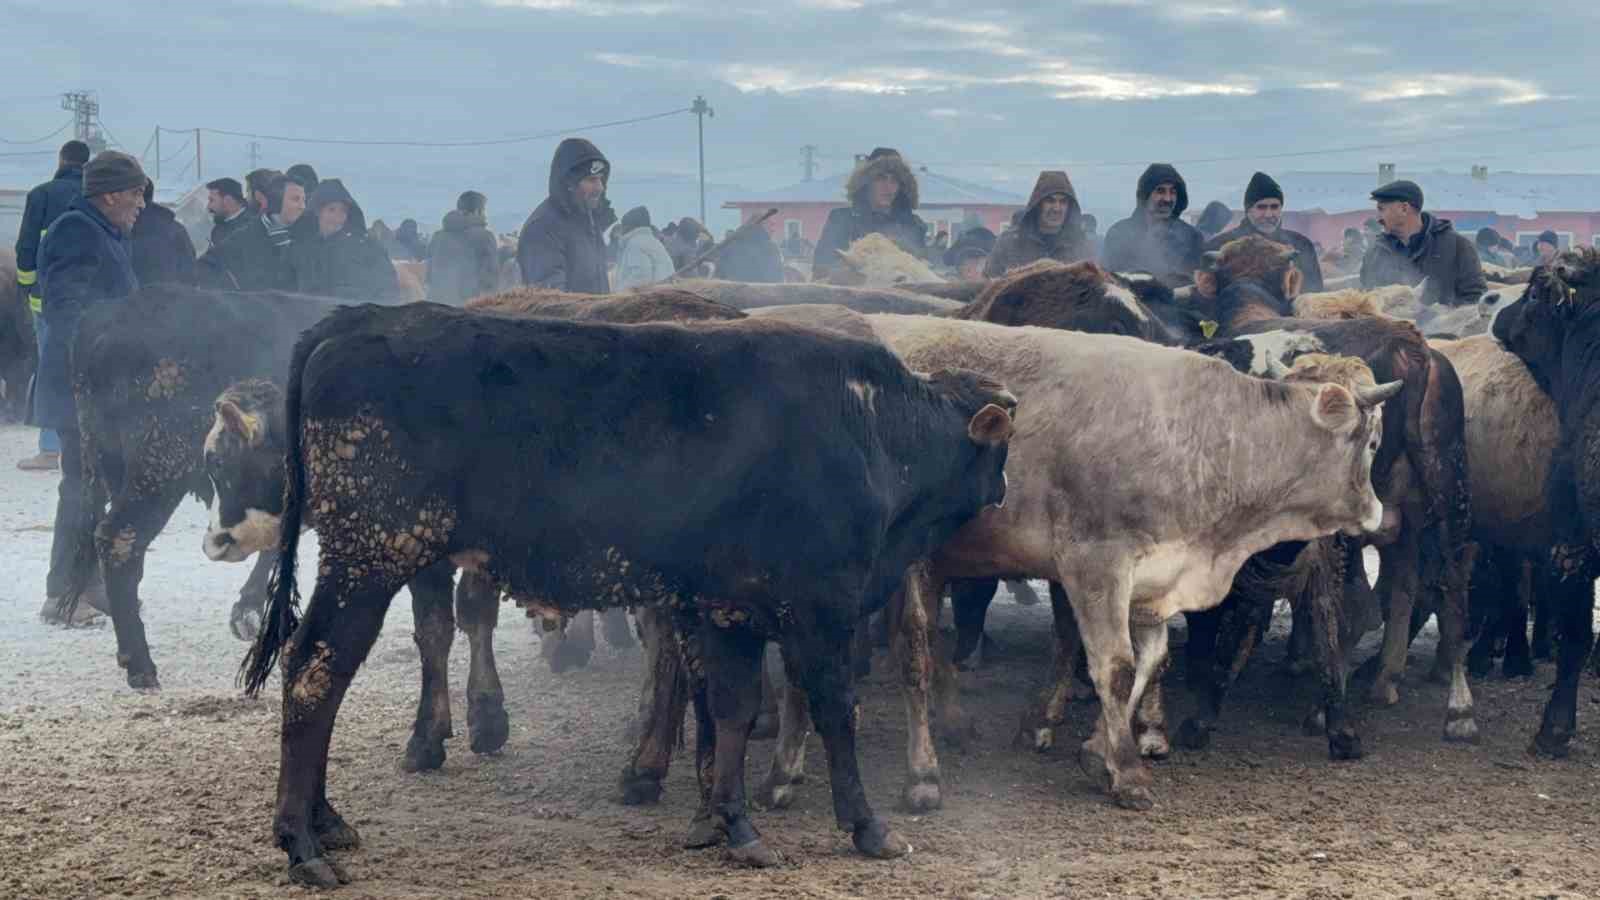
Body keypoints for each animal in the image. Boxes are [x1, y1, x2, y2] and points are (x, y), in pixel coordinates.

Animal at [236, 299, 1011, 883]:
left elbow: (730, 711)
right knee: (313, 674)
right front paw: (867, 826)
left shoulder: (724, 608)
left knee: (317, 674)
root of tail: (358, 319)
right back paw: (301, 844)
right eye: (1002, 446)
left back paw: (324, 822)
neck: (868, 428)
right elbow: (832, 713)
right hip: (371, 556)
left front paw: (727, 823)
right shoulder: (819, 609)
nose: (1005, 489)